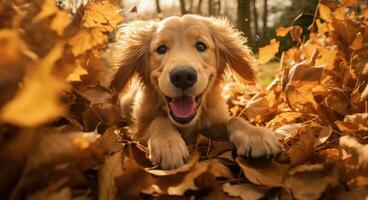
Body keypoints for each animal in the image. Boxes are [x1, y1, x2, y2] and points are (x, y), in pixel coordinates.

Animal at [109, 14, 282, 170]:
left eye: (201, 46)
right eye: (161, 49)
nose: (183, 76)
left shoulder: (213, 124)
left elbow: (234, 119)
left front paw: (254, 134)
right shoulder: (137, 129)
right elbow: (158, 120)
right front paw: (168, 143)